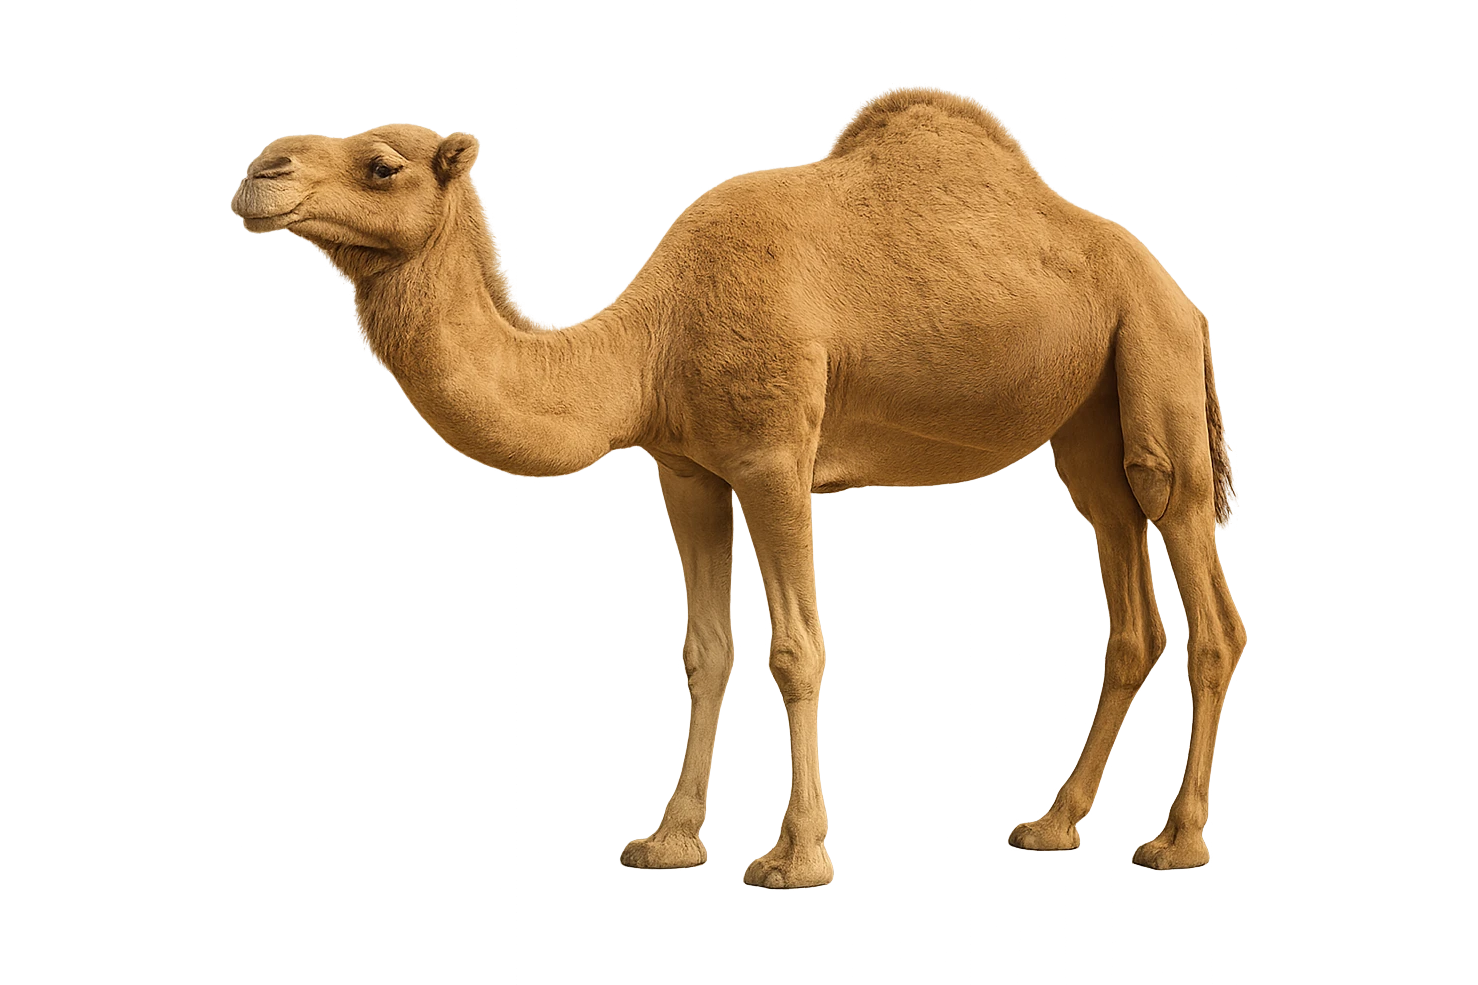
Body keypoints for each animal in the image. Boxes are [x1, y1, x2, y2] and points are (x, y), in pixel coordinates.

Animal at [231, 84, 1246, 883]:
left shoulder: (773, 457)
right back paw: (1051, 824)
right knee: (1128, 595)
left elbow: (795, 649)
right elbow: (705, 649)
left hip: (1152, 360)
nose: (260, 170)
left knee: (1199, 577)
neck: (651, 341)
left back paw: (1176, 842)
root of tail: (1183, 293)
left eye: (380, 164)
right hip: (1086, 418)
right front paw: (669, 840)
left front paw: (796, 856)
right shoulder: (688, 471)